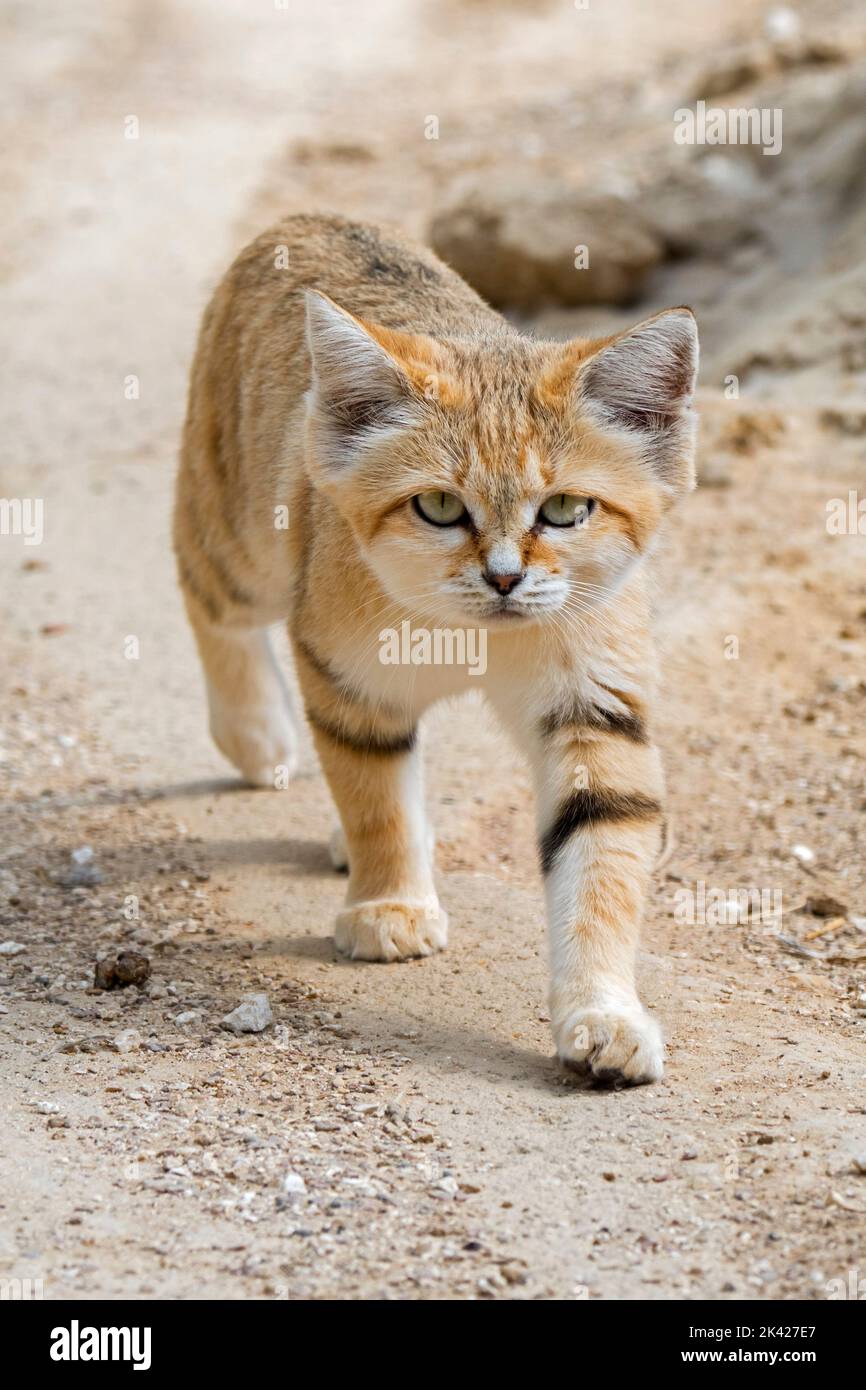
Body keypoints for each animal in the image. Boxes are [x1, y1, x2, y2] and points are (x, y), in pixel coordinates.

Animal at [176, 214, 697, 1084]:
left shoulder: (593, 706)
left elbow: (600, 861)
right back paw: (256, 735)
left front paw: (604, 1014)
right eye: (440, 507)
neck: (475, 636)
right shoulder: (349, 679)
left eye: (566, 509)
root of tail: (306, 218)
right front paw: (390, 905)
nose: (504, 577)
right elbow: (376, 797)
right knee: (203, 589)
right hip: (238, 536)